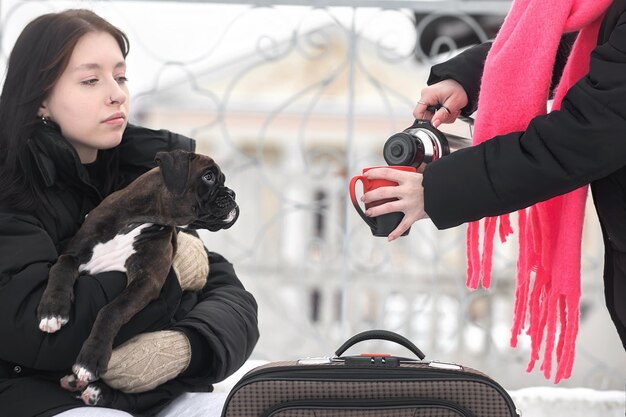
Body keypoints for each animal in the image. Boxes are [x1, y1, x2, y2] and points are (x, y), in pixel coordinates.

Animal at [35, 148, 238, 402]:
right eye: (208, 177)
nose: (233, 194)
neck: (138, 220)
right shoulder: (73, 255)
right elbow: (60, 268)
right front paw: (52, 312)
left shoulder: (146, 281)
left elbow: (111, 310)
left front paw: (90, 360)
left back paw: (94, 390)